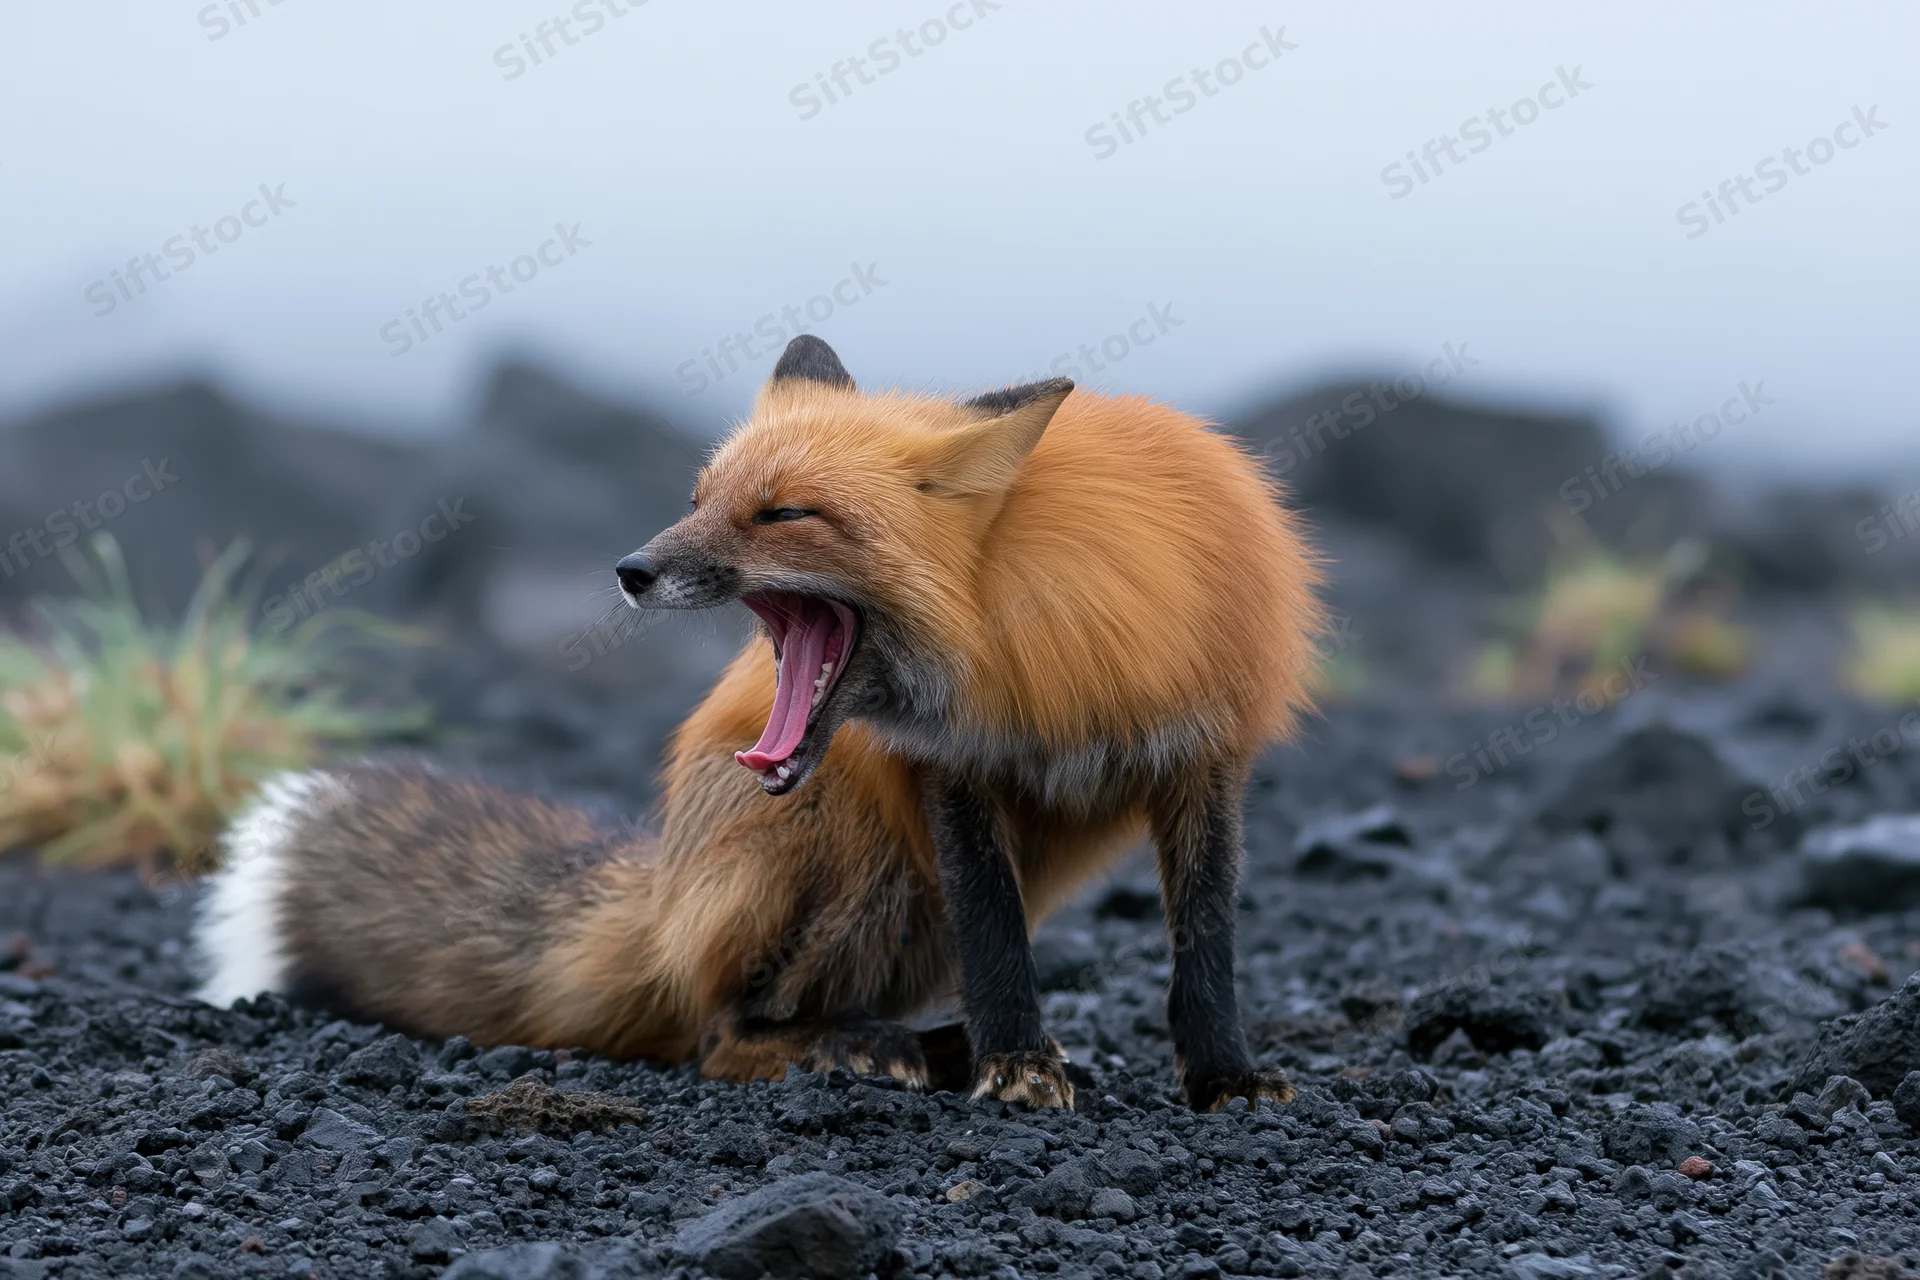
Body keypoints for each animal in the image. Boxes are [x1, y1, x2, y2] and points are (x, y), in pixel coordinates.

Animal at [194, 335, 1324, 1111]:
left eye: (784, 513)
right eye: (699, 496)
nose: (630, 570)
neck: (1041, 646)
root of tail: (661, 889)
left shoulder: (1205, 756)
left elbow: (1206, 939)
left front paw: (1223, 1075)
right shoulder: (950, 771)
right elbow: (997, 933)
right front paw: (1015, 1063)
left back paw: (926, 1042)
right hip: (840, 847)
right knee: (720, 1034)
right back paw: (868, 1047)